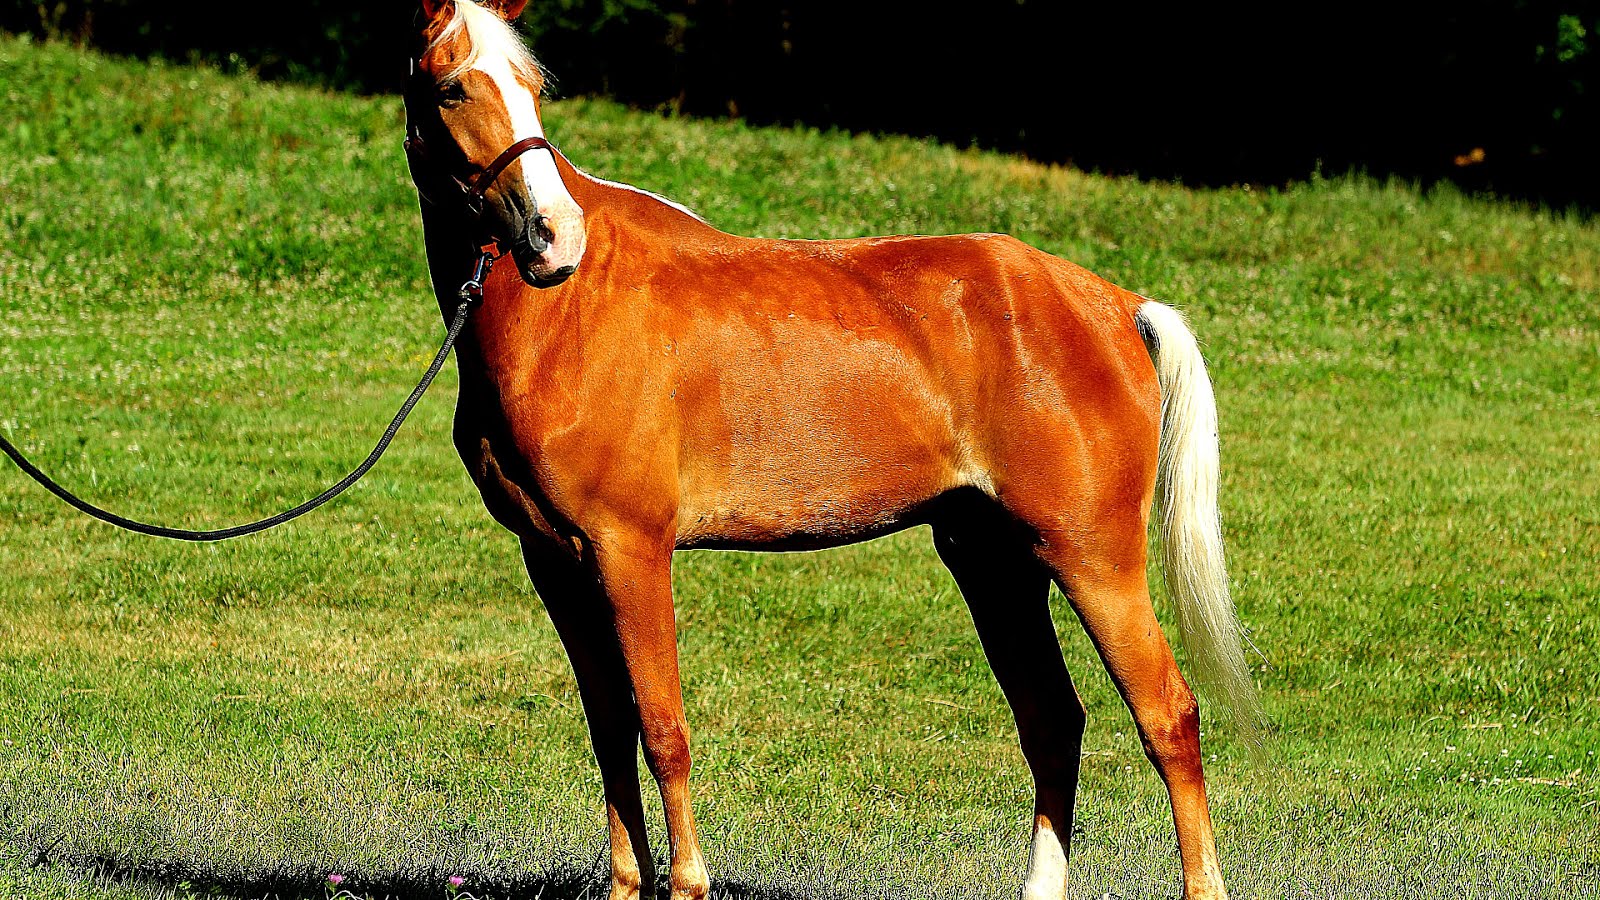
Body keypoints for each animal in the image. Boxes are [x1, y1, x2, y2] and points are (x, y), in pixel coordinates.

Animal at [403, 2, 1261, 898]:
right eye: (455, 87)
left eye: (533, 87)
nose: (551, 237)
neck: (567, 314)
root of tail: (1116, 304)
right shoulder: (555, 560)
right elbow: (611, 731)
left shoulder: (630, 551)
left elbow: (663, 728)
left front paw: (688, 881)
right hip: (995, 562)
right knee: (1053, 722)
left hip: (1093, 557)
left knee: (1168, 715)